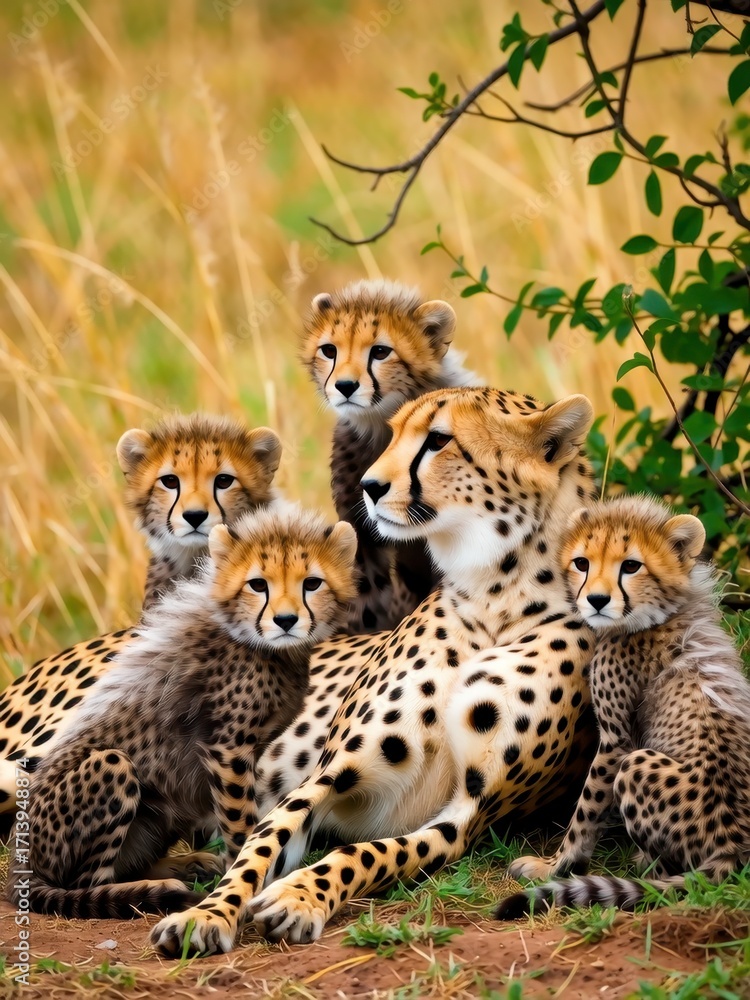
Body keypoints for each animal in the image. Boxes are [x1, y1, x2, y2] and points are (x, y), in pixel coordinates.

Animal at [6, 503, 357, 919]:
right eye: (258, 584)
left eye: (312, 583)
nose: (286, 621)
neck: (267, 647)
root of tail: (21, 861)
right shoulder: (227, 749)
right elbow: (241, 823)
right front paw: (245, 877)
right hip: (114, 764)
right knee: (87, 883)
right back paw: (157, 886)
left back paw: (184, 864)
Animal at [149, 384, 599, 956]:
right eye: (394, 432)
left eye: (438, 439)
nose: (369, 485)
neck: (494, 595)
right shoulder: (325, 776)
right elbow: (259, 847)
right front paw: (207, 914)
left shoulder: (465, 817)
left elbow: (361, 853)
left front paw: (298, 896)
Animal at [495, 495, 750, 919]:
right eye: (582, 563)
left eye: (631, 566)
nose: (596, 601)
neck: (657, 614)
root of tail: (737, 848)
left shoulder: (616, 743)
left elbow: (585, 811)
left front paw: (555, 866)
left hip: (638, 764)